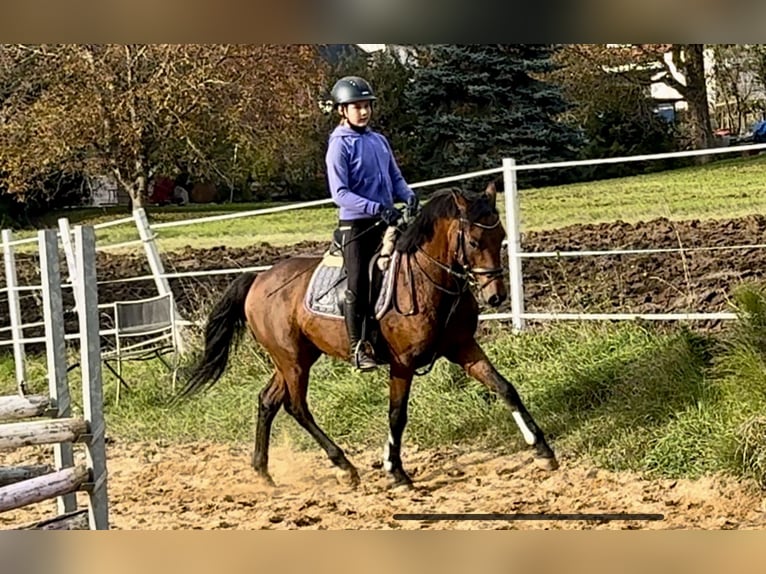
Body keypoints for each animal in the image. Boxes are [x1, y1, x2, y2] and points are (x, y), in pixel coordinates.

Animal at [183, 182, 560, 488]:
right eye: (473, 240)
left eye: (501, 237)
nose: (496, 297)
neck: (427, 281)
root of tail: (258, 279)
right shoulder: (402, 363)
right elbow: (397, 414)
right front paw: (396, 472)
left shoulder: (463, 347)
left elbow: (505, 388)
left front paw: (543, 450)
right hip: (292, 361)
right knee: (296, 406)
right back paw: (343, 467)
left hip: (295, 357)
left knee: (268, 401)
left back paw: (263, 472)